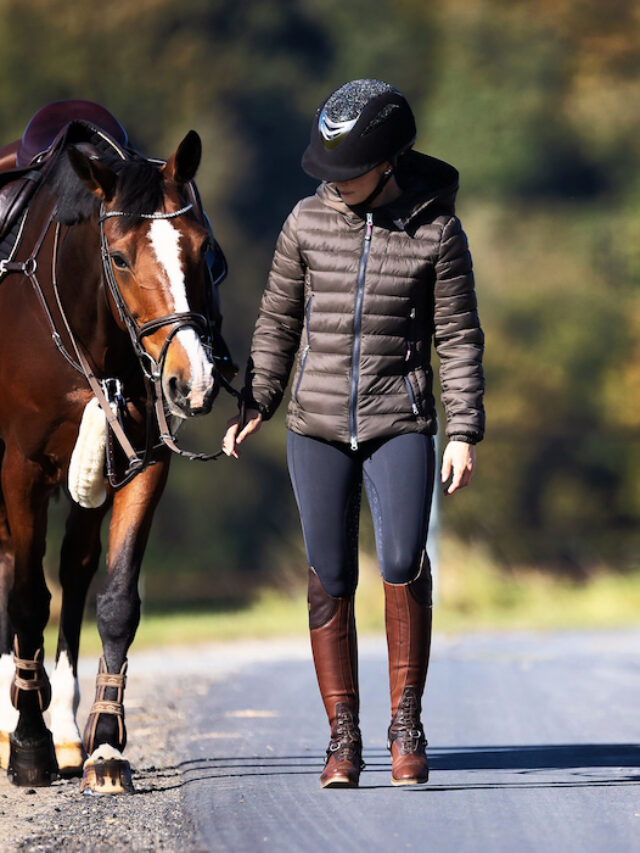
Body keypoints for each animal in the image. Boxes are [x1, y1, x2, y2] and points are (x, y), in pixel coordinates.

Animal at [0, 102, 233, 793]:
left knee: (74, 569)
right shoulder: (21, 467)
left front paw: (103, 745)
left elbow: (116, 600)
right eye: (122, 258)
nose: (192, 379)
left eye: (205, 251)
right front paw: (28, 746)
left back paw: (66, 732)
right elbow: (28, 599)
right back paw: (17, 724)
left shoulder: (143, 463)